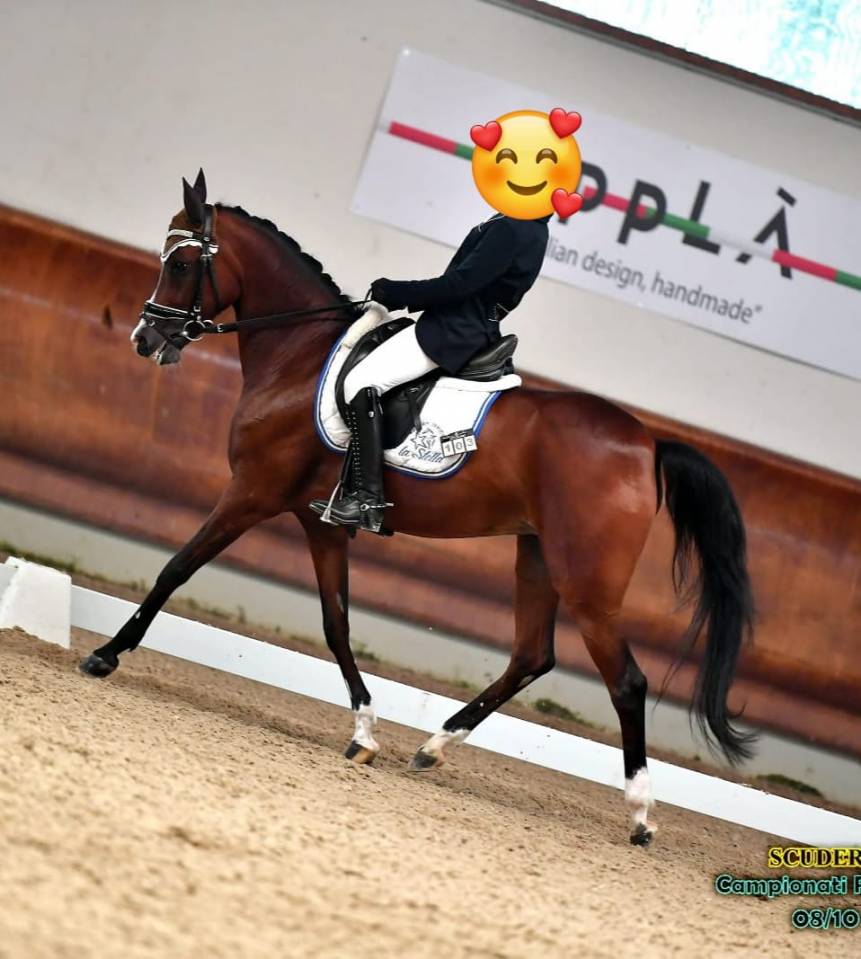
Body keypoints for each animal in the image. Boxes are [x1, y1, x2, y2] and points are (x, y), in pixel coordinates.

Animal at [80, 172, 755, 846]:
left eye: (182, 263)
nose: (146, 340)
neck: (298, 355)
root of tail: (648, 443)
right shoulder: (321, 523)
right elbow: (336, 622)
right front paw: (364, 731)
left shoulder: (251, 493)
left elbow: (176, 568)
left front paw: (106, 654)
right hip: (538, 555)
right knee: (532, 656)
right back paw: (433, 747)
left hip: (587, 583)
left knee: (627, 682)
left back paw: (640, 814)